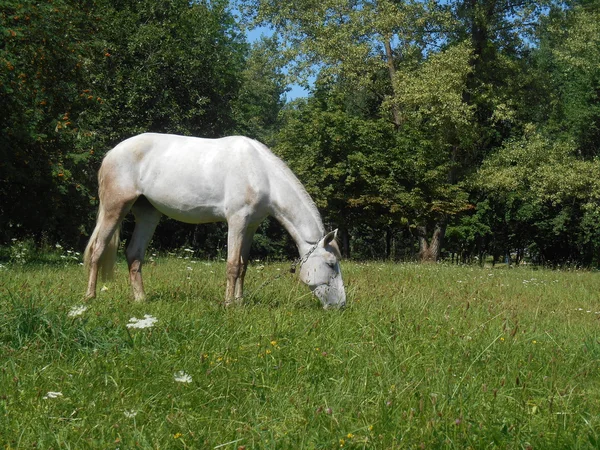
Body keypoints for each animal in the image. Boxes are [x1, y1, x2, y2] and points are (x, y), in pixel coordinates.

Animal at [84, 134, 346, 310]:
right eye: (331, 264)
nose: (341, 305)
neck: (261, 173)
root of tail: (112, 153)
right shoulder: (237, 221)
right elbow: (232, 266)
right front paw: (229, 304)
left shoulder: (250, 226)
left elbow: (243, 266)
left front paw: (240, 302)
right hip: (115, 208)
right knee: (97, 250)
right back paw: (90, 297)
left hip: (148, 213)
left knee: (134, 254)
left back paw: (141, 299)